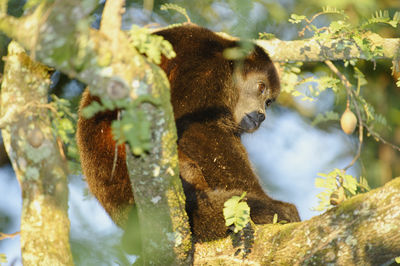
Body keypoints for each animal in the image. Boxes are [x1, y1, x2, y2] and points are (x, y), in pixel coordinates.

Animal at [76, 23, 298, 242]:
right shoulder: (205, 68)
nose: (261, 115)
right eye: (260, 87)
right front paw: (267, 202)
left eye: (268, 102)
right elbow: (195, 127)